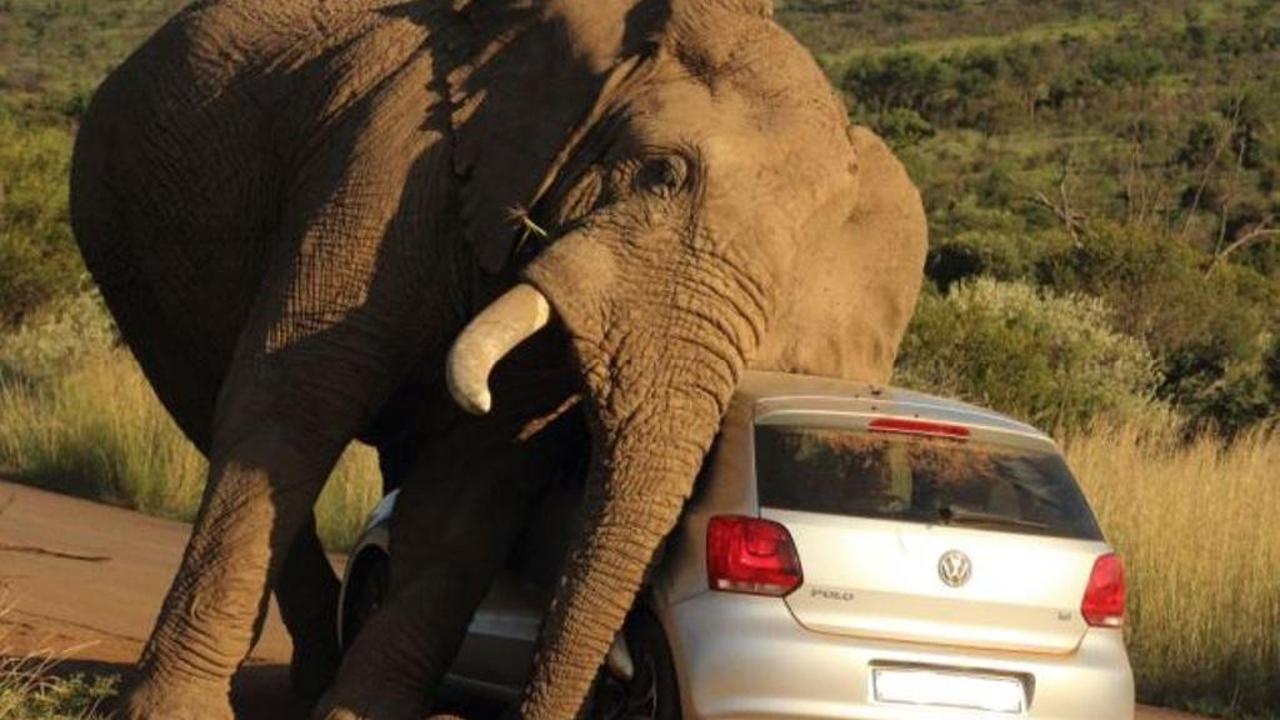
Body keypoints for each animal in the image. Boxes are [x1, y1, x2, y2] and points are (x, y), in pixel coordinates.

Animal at [68, 0, 927, 718]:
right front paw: (169, 717)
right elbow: (294, 401)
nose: (622, 680)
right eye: (662, 173)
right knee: (211, 408)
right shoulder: (392, 161)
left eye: (798, 267)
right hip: (122, 223)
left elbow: (471, 482)